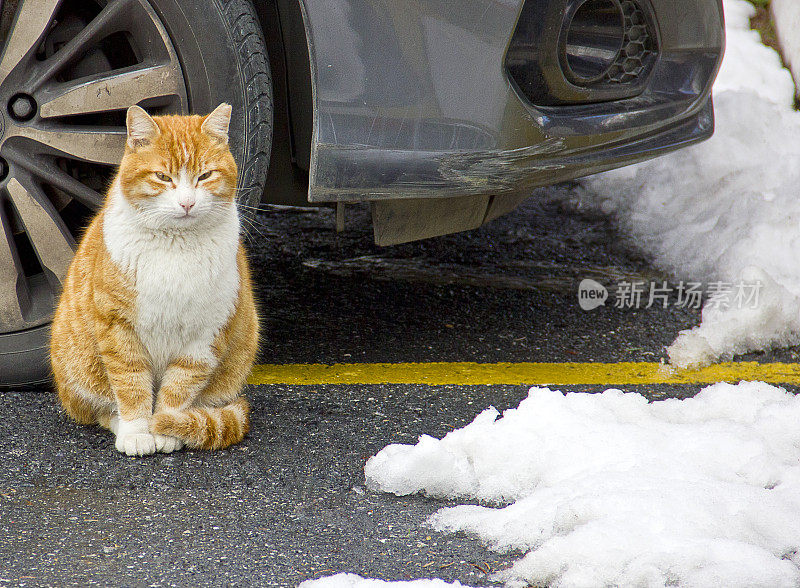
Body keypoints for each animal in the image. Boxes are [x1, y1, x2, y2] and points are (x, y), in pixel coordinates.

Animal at [48, 103, 260, 458]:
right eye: (163, 177)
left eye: (205, 176)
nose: (187, 203)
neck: (175, 246)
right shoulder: (118, 328)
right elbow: (131, 385)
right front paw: (137, 431)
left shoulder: (204, 337)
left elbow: (178, 389)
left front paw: (167, 427)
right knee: (101, 410)